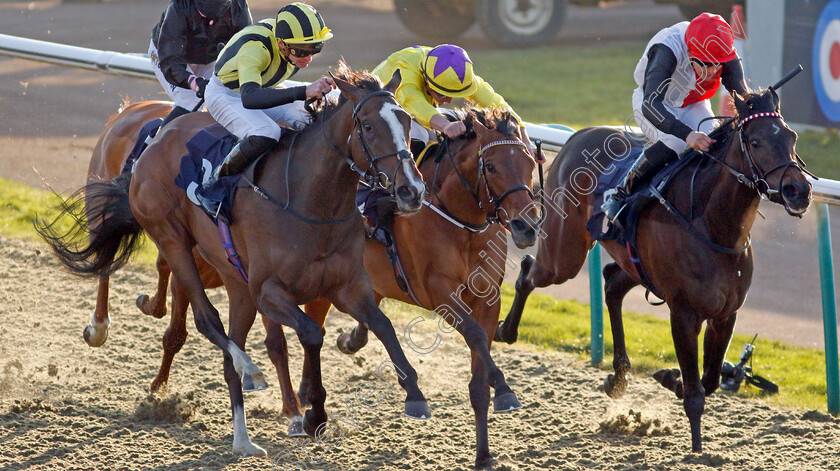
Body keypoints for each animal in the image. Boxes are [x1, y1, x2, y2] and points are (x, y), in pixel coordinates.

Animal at [37, 66, 434, 458]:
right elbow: (310, 333)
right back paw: (244, 371)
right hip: (173, 240)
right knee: (204, 319)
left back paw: (243, 439)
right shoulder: (269, 290)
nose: (412, 190)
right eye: (368, 126)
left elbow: (383, 325)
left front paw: (415, 396)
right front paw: (313, 414)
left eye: (407, 121)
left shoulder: (348, 285)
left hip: (236, 283)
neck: (309, 201)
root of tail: (157, 137)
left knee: (228, 351)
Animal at [302, 109, 544, 468]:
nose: (526, 226)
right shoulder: (440, 291)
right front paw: (505, 390)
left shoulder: (488, 299)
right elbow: (474, 336)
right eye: (491, 166)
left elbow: (479, 374)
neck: (461, 222)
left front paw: (484, 454)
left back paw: (349, 343)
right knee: (311, 327)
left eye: (529, 162)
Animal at [496, 88, 812, 454]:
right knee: (529, 271)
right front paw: (697, 450)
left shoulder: (725, 314)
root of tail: (579, 134)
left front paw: (670, 377)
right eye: (757, 142)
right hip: (564, 256)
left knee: (612, 283)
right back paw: (506, 331)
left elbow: (710, 379)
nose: (799, 191)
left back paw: (618, 377)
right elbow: (696, 392)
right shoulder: (683, 313)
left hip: (632, 264)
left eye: (791, 137)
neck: (713, 225)